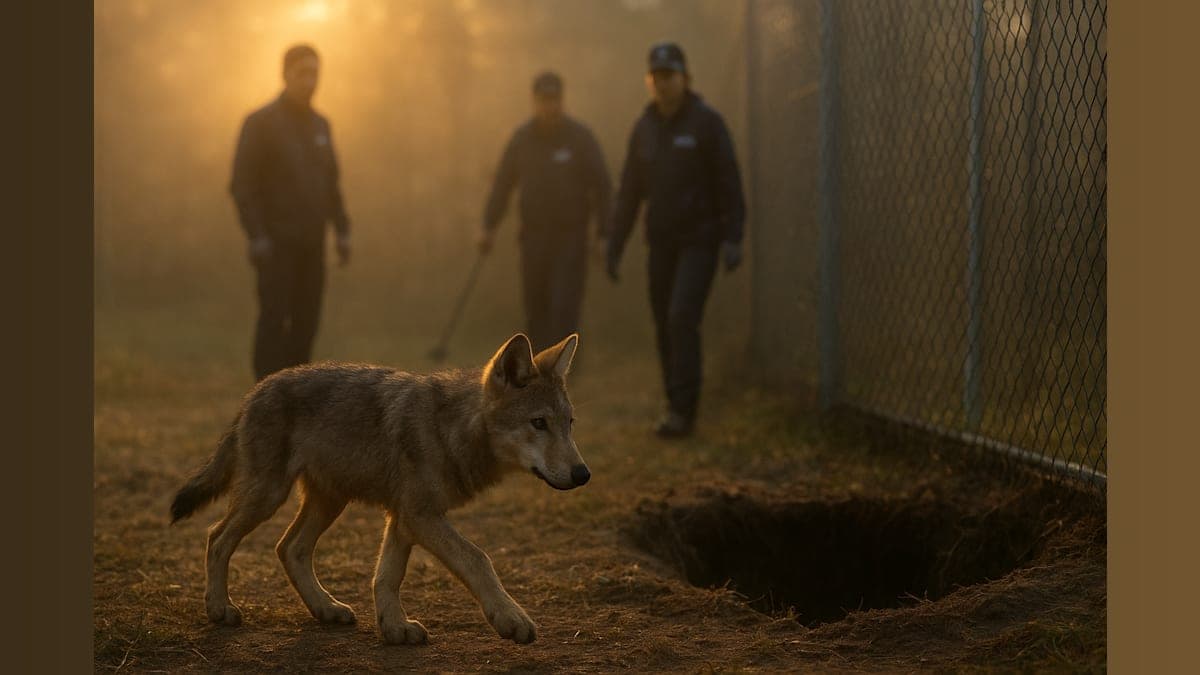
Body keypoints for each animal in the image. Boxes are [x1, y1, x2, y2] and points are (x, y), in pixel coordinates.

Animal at [169, 333, 588, 645]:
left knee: (289, 548)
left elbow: (387, 576)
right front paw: (510, 618)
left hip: (329, 501)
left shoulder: (403, 517)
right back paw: (219, 609)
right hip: (269, 496)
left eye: (569, 423)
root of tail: (255, 390)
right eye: (538, 423)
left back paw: (326, 608)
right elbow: (478, 558)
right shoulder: (419, 514)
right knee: (217, 537)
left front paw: (394, 628)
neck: (450, 429)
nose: (583, 474)